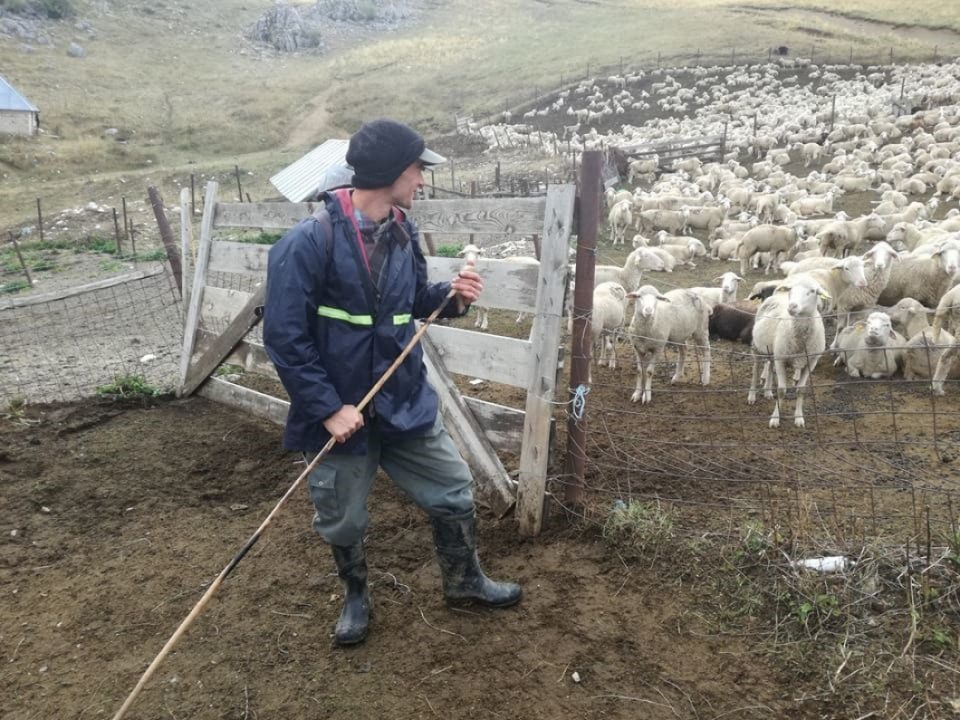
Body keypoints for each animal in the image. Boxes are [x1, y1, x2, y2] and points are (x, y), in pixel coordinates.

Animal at [748, 276, 828, 428]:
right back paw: (752, 395)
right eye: (791, 289)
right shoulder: (781, 359)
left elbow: (801, 390)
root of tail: (776, 295)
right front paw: (775, 418)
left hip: (773, 350)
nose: (792, 307)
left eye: (812, 291)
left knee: (770, 366)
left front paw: (799, 418)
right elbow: (781, 391)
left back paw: (767, 391)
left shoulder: (810, 362)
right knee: (755, 369)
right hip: (757, 346)